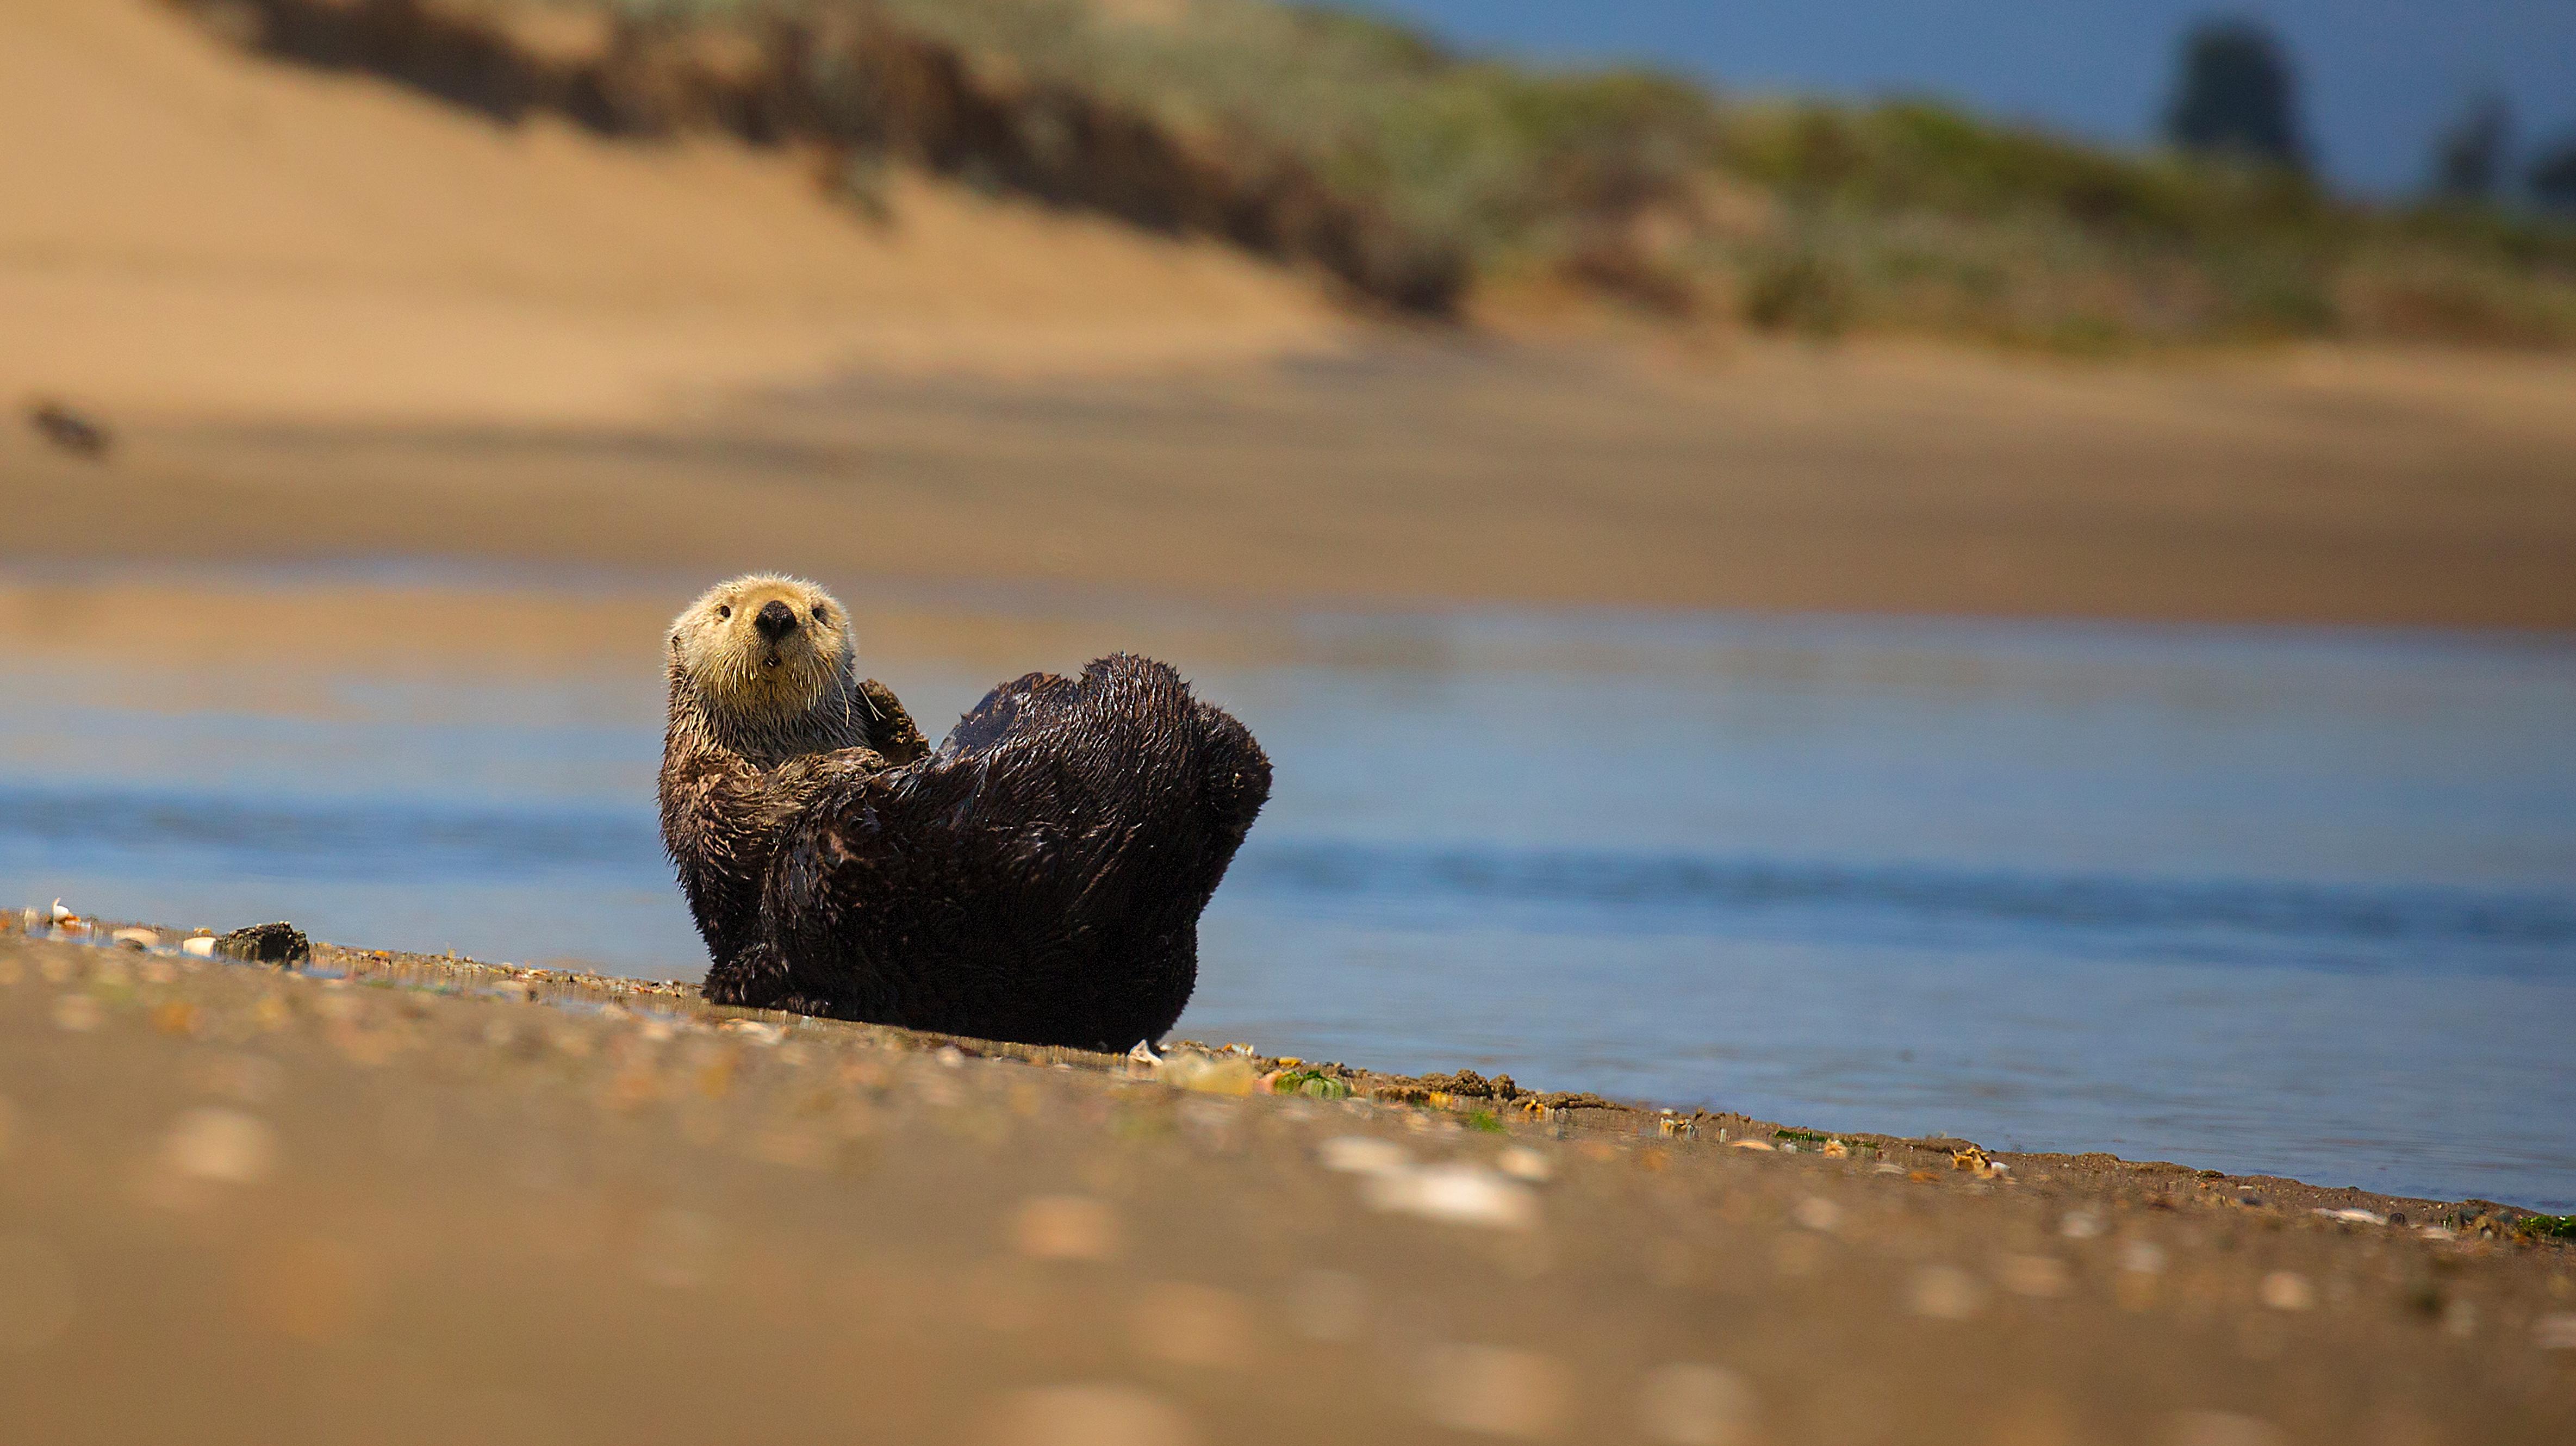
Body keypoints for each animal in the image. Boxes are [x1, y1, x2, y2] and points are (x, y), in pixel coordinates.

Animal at [659, 574, 1270, 1052]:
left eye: (818, 612)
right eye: (724, 610)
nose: (776, 614)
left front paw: (887, 715)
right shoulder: (707, 787)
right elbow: (748, 813)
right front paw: (846, 761)